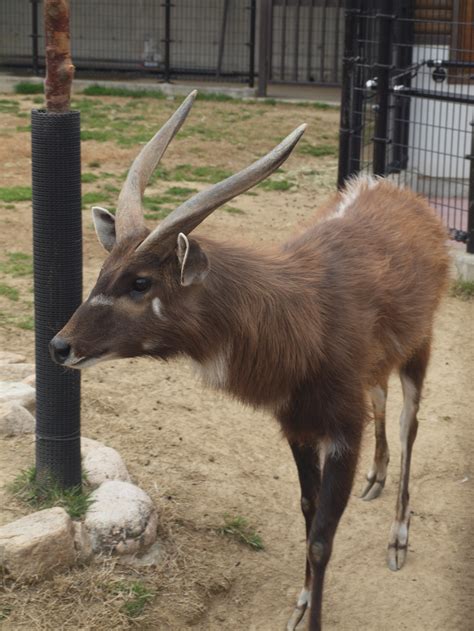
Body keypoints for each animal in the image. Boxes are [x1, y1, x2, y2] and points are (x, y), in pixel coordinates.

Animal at [50, 91, 450, 628]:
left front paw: (311, 612)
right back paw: (376, 479)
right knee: (382, 395)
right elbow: (307, 509)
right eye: (103, 270)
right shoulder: (297, 425)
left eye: (140, 282)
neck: (302, 315)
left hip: (420, 344)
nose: (60, 346)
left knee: (411, 422)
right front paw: (300, 603)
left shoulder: (343, 429)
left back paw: (398, 539)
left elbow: (322, 537)